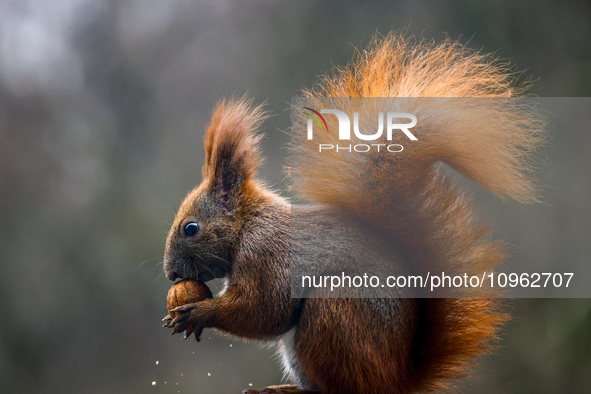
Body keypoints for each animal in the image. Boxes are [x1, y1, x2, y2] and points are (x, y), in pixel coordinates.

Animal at [162, 33, 544, 394]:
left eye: (190, 228)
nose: (170, 274)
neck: (248, 225)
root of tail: (395, 379)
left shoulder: (269, 254)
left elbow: (266, 311)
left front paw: (198, 313)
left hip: (335, 310)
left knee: (340, 386)